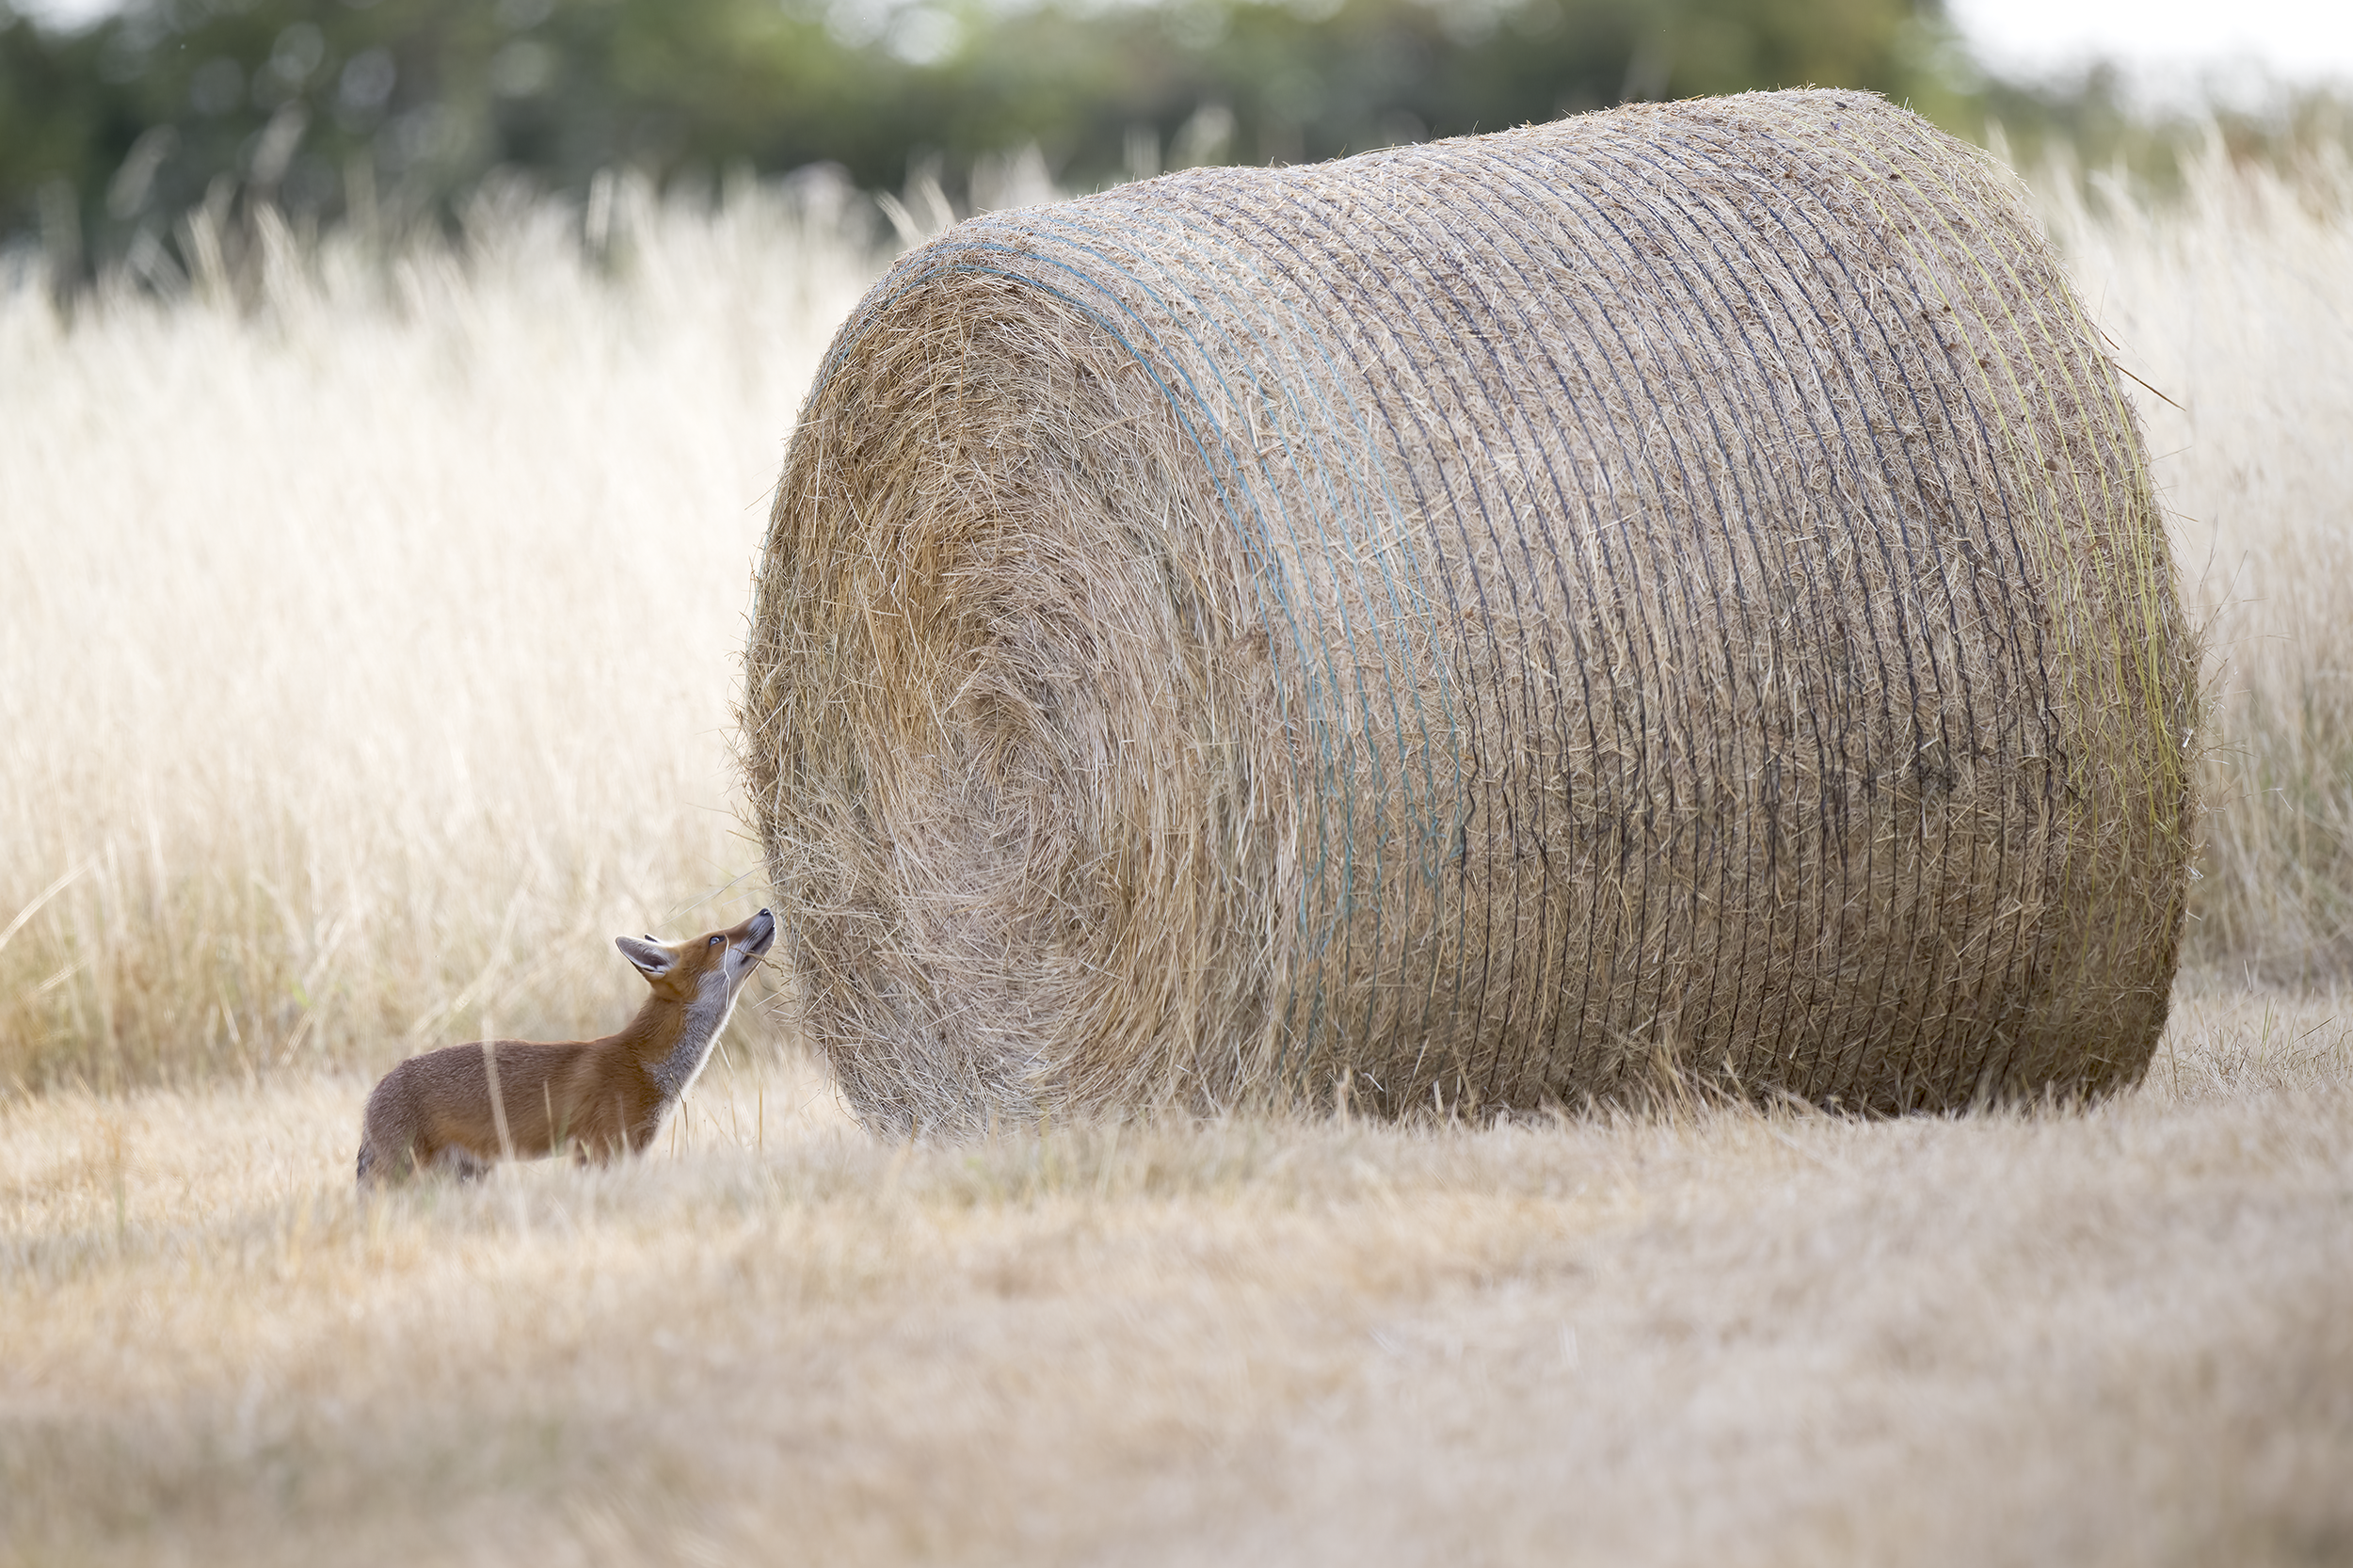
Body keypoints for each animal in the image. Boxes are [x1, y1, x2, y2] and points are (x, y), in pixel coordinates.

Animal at [357, 907, 776, 1188]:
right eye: (716, 939)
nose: (766, 909)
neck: (647, 1062)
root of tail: (377, 1087)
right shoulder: (600, 1149)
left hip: (466, 1176)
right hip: (404, 1173)